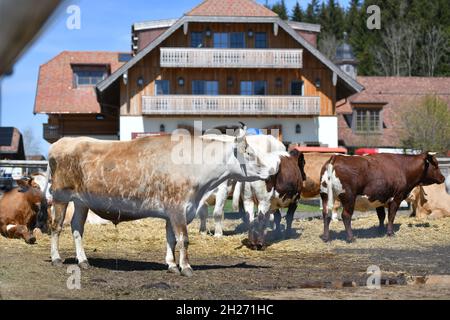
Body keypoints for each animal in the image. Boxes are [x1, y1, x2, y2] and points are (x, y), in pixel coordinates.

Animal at [44, 129, 284, 276]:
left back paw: (83, 260)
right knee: (56, 227)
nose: (272, 170)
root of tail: (62, 142)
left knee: (77, 228)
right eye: (249, 153)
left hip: (81, 202)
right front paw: (186, 267)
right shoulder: (178, 209)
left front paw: (171, 265)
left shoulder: (173, 211)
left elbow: (171, 240)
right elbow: (184, 240)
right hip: (60, 197)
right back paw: (56, 258)